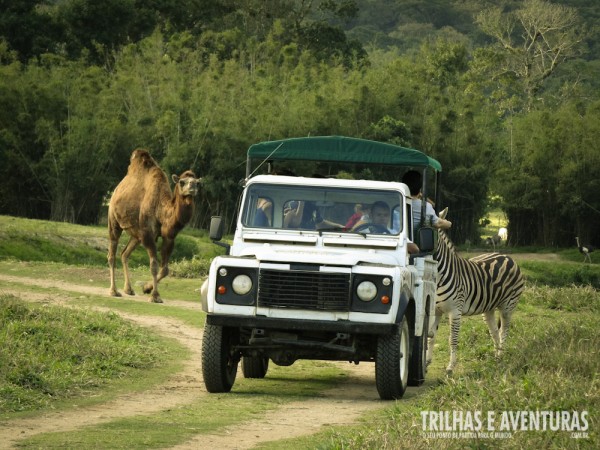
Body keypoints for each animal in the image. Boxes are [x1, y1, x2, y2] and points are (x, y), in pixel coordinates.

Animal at [108, 150, 202, 302]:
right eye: (182, 182)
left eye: (198, 183)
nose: (192, 188)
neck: (161, 211)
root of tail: (116, 190)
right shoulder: (148, 235)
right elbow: (154, 265)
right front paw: (155, 296)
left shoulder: (169, 237)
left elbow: (165, 269)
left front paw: (146, 288)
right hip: (113, 220)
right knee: (112, 253)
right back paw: (114, 291)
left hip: (136, 235)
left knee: (124, 254)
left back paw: (128, 289)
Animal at [426, 209, 524, 374]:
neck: (439, 276)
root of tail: (506, 256)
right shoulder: (435, 310)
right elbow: (431, 336)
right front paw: (426, 362)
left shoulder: (455, 311)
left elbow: (452, 339)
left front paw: (450, 366)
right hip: (488, 308)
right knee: (494, 331)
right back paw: (496, 357)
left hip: (508, 305)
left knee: (504, 330)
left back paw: (501, 355)